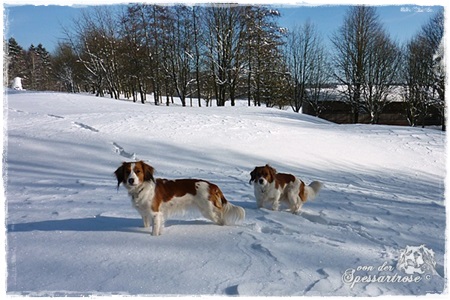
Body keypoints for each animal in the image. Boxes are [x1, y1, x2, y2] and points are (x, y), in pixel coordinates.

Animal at [114, 161, 244, 236]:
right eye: (127, 172)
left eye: (138, 171)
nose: (131, 180)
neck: (142, 188)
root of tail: (212, 185)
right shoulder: (144, 214)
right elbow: (147, 225)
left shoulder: (155, 213)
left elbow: (154, 231)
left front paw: (153, 237)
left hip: (208, 210)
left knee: (221, 220)